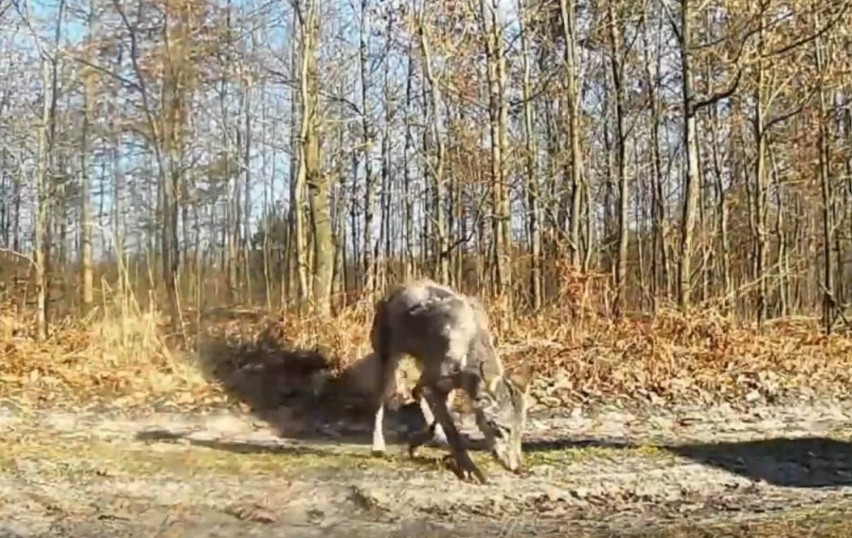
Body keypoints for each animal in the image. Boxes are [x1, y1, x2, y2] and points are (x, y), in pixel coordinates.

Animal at [372, 276, 532, 482]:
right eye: (502, 430)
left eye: (521, 431)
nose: (517, 468)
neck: (468, 343)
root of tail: (398, 287)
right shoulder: (433, 387)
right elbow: (452, 431)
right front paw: (469, 468)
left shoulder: (447, 389)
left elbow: (440, 423)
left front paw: (417, 443)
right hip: (389, 364)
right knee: (379, 404)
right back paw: (377, 446)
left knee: (416, 393)